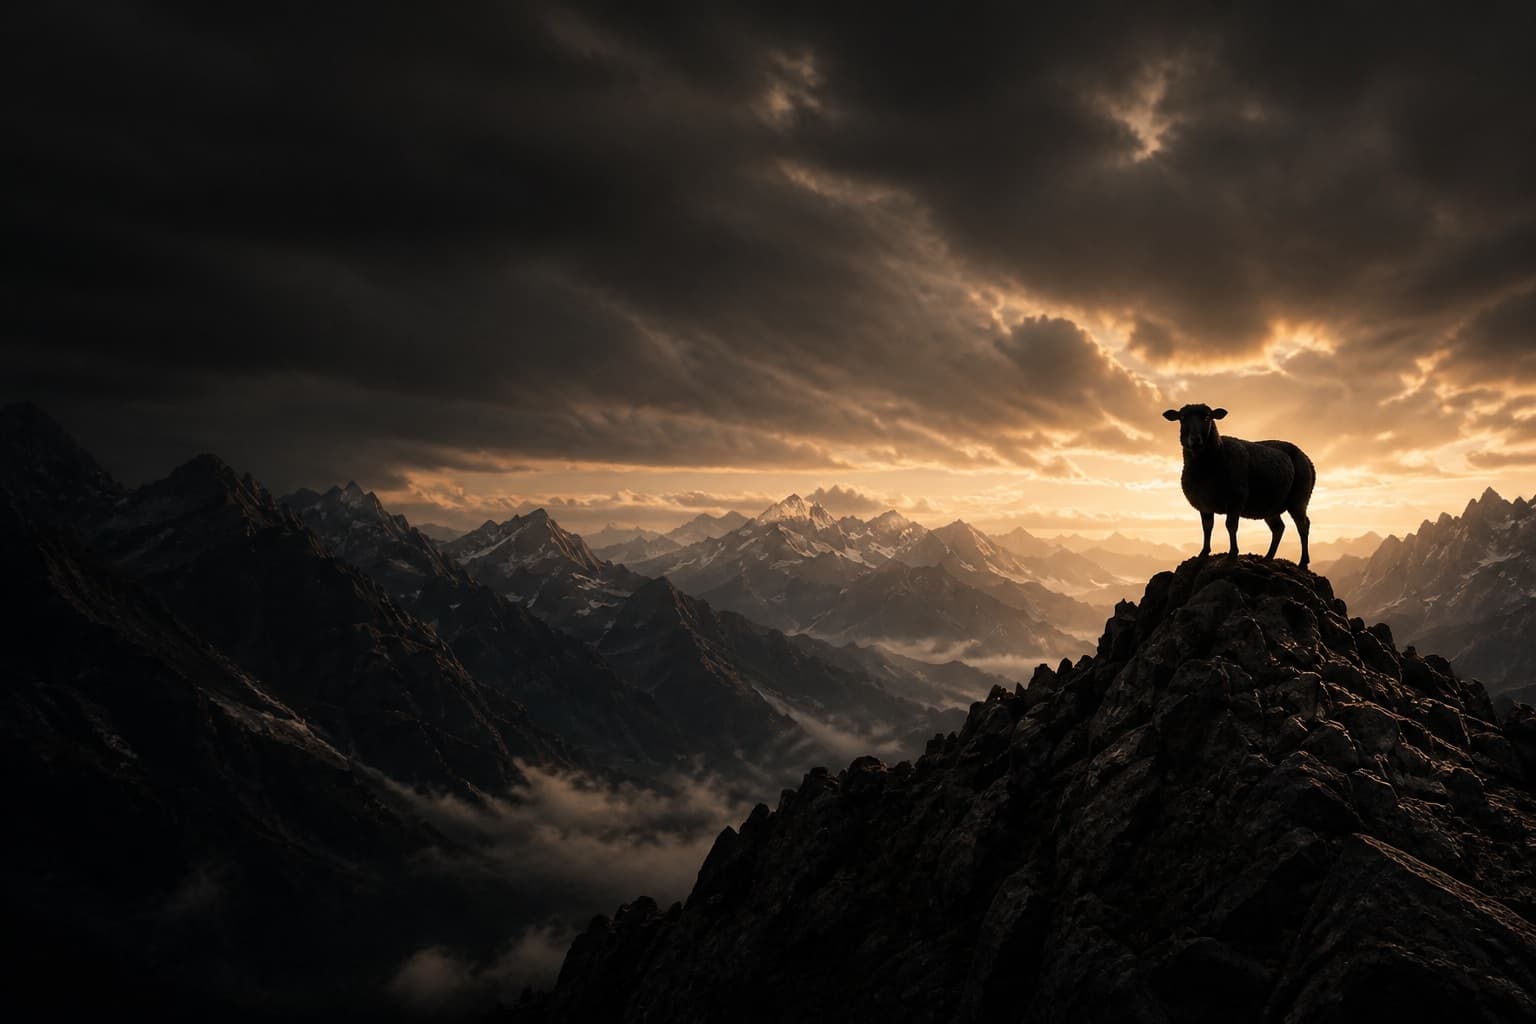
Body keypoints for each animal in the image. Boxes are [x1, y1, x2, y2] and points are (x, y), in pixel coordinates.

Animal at [1162, 404, 1316, 568]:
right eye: (1182, 418)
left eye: (1207, 417)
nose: (1195, 440)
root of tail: (1307, 459)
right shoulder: (1204, 504)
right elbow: (1207, 527)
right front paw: (1203, 553)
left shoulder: (1236, 500)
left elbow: (1231, 526)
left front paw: (1232, 555)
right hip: (1271, 505)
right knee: (1279, 528)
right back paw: (1268, 557)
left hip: (1299, 499)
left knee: (1303, 526)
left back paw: (1303, 562)